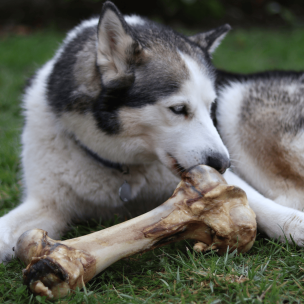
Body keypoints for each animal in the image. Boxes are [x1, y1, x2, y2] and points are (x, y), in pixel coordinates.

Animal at [0, 1, 302, 262]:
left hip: (236, 103)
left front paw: (294, 225)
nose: (223, 163)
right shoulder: (46, 204)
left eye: (210, 107)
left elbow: (254, 200)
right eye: (179, 109)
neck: (121, 167)